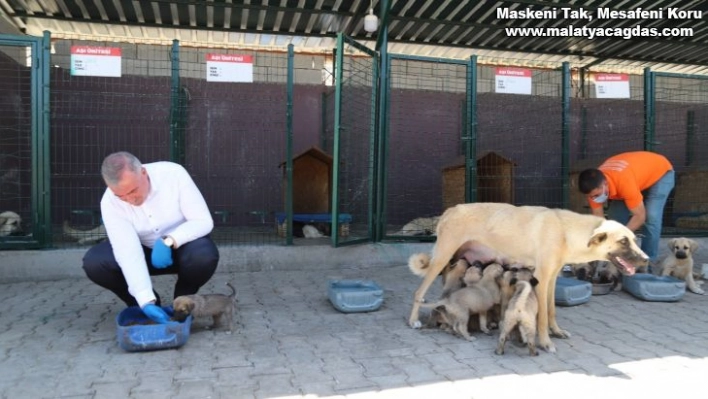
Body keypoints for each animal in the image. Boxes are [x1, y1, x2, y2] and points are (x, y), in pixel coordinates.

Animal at [406, 203, 648, 354]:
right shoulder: (541, 278)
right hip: (440, 259)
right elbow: (541, 317)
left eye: (633, 239)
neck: (565, 230)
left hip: (453, 264)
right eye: (623, 241)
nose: (646, 259)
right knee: (418, 292)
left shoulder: (552, 278)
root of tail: (450, 210)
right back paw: (413, 321)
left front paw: (556, 332)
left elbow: (551, 310)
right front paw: (545, 342)